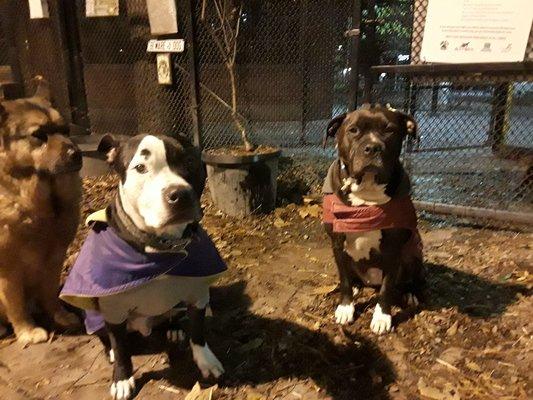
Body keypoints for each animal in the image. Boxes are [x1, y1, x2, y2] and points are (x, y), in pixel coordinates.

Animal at [0, 77, 82, 344]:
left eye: (65, 130)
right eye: (38, 135)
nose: (77, 154)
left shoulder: (54, 258)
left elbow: (50, 294)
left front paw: (60, 315)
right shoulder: (8, 269)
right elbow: (16, 304)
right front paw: (26, 331)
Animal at [61, 134, 224, 396]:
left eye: (189, 162)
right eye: (140, 168)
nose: (180, 194)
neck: (161, 247)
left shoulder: (197, 293)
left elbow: (198, 331)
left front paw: (206, 360)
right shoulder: (113, 308)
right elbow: (122, 349)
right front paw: (122, 378)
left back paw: (175, 329)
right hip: (95, 316)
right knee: (108, 338)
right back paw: (110, 350)